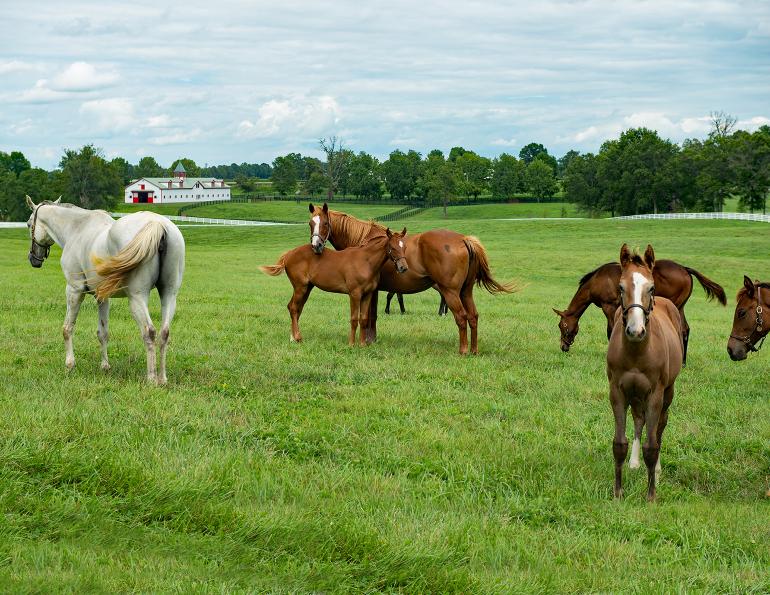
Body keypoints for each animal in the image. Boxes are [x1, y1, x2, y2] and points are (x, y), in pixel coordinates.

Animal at [25, 196, 185, 385]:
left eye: (29, 224)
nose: (33, 259)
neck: (77, 229)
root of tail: (157, 223)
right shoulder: (102, 297)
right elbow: (103, 332)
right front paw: (105, 366)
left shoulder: (74, 290)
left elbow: (67, 328)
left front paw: (70, 365)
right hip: (169, 295)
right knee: (164, 333)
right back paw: (163, 378)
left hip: (137, 298)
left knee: (149, 332)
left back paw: (152, 379)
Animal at [260, 227, 408, 346]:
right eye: (393, 247)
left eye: (404, 247)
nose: (403, 268)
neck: (366, 261)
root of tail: (289, 254)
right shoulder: (355, 294)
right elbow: (354, 319)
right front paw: (351, 344)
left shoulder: (367, 294)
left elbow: (364, 319)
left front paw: (362, 344)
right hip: (300, 287)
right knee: (293, 308)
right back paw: (297, 337)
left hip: (307, 288)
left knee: (296, 308)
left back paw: (293, 338)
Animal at [308, 203, 514, 354]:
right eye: (310, 224)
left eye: (325, 224)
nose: (316, 246)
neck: (364, 242)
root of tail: (463, 239)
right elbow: (372, 316)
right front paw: (371, 340)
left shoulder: (371, 290)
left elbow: (371, 316)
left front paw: (368, 340)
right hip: (465, 292)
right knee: (473, 317)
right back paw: (473, 350)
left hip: (450, 292)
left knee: (462, 317)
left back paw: (463, 350)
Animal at [554, 259, 725, 363]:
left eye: (562, 326)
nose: (564, 347)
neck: (597, 280)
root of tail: (684, 269)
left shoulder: (609, 306)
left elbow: (610, 330)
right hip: (680, 307)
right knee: (685, 330)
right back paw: (682, 362)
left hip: (675, 305)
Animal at [606, 244, 683, 502]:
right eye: (621, 287)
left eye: (651, 287)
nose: (635, 330)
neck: (637, 353)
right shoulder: (617, 392)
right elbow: (619, 443)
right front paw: (618, 492)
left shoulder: (655, 394)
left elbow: (652, 445)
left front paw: (651, 496)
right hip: (635, 393)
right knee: (639, 420)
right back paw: (634, 463)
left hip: (667, 392)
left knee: (660, 426)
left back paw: (656, 471)